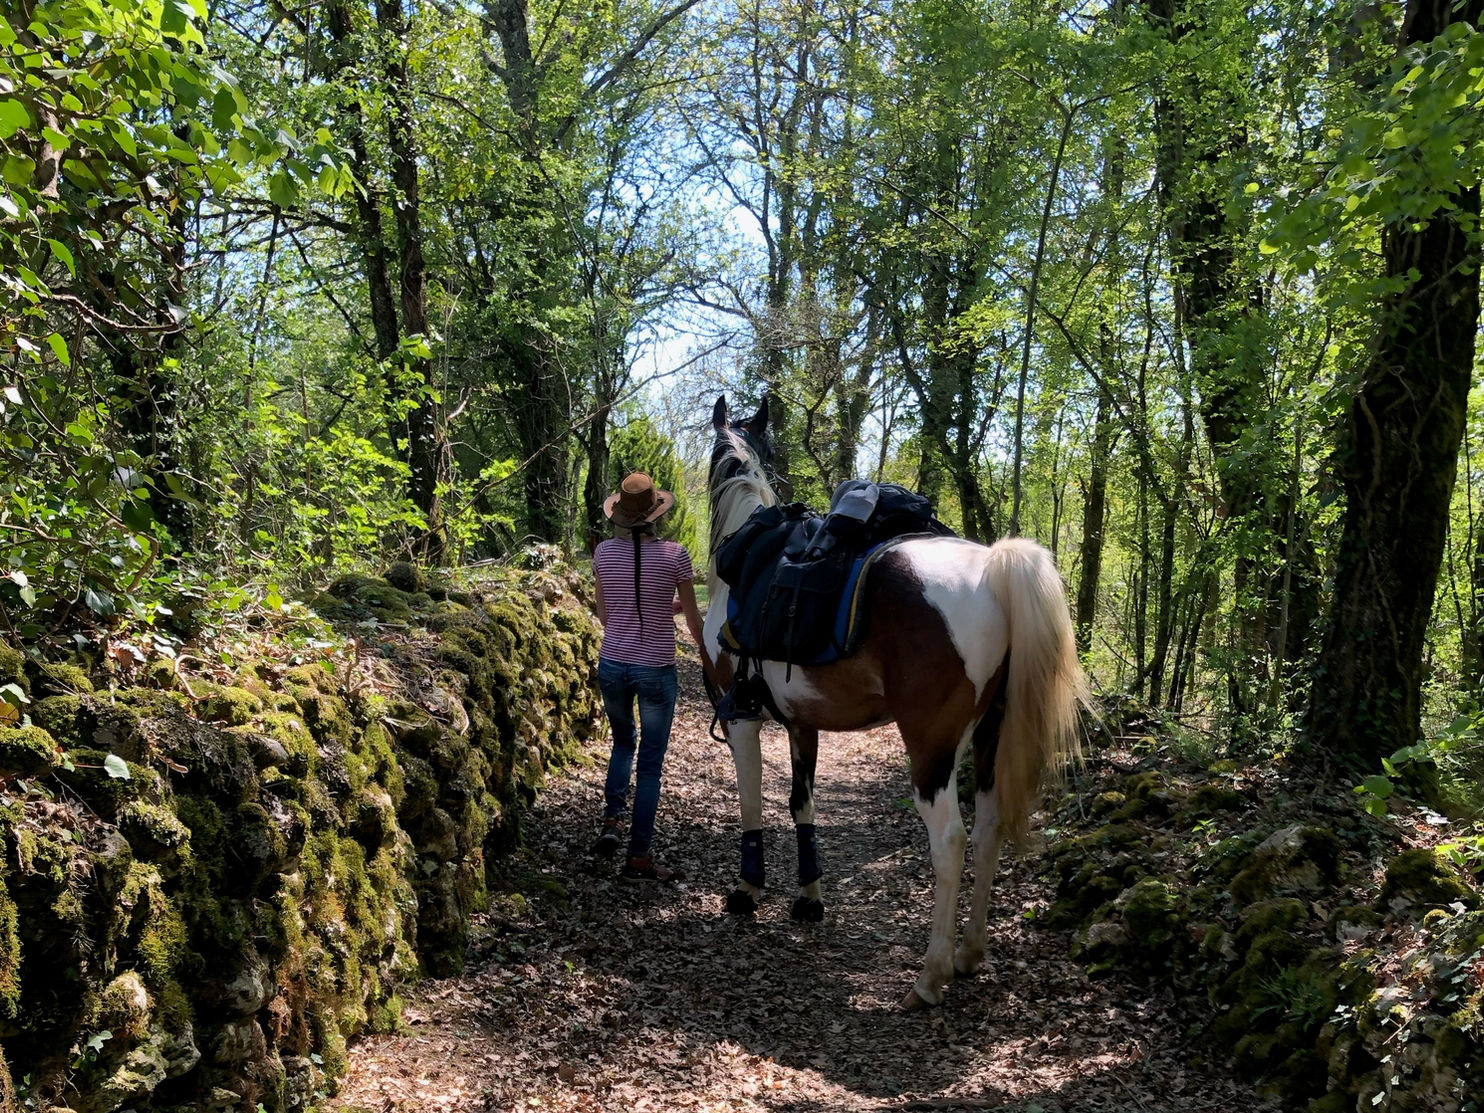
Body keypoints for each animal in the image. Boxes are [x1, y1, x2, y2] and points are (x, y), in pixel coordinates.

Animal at [703, 394, 1087, 1009]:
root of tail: (992, 569)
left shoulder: (742, 717)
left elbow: (752, 803)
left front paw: (747, 890)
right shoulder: (800, 724)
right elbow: (801, 804)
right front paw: (809, 898)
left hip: (931, 748)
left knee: (951, 842)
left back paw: (930, 977)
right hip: (989, 738)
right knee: (988, 831)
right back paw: (970, 953)